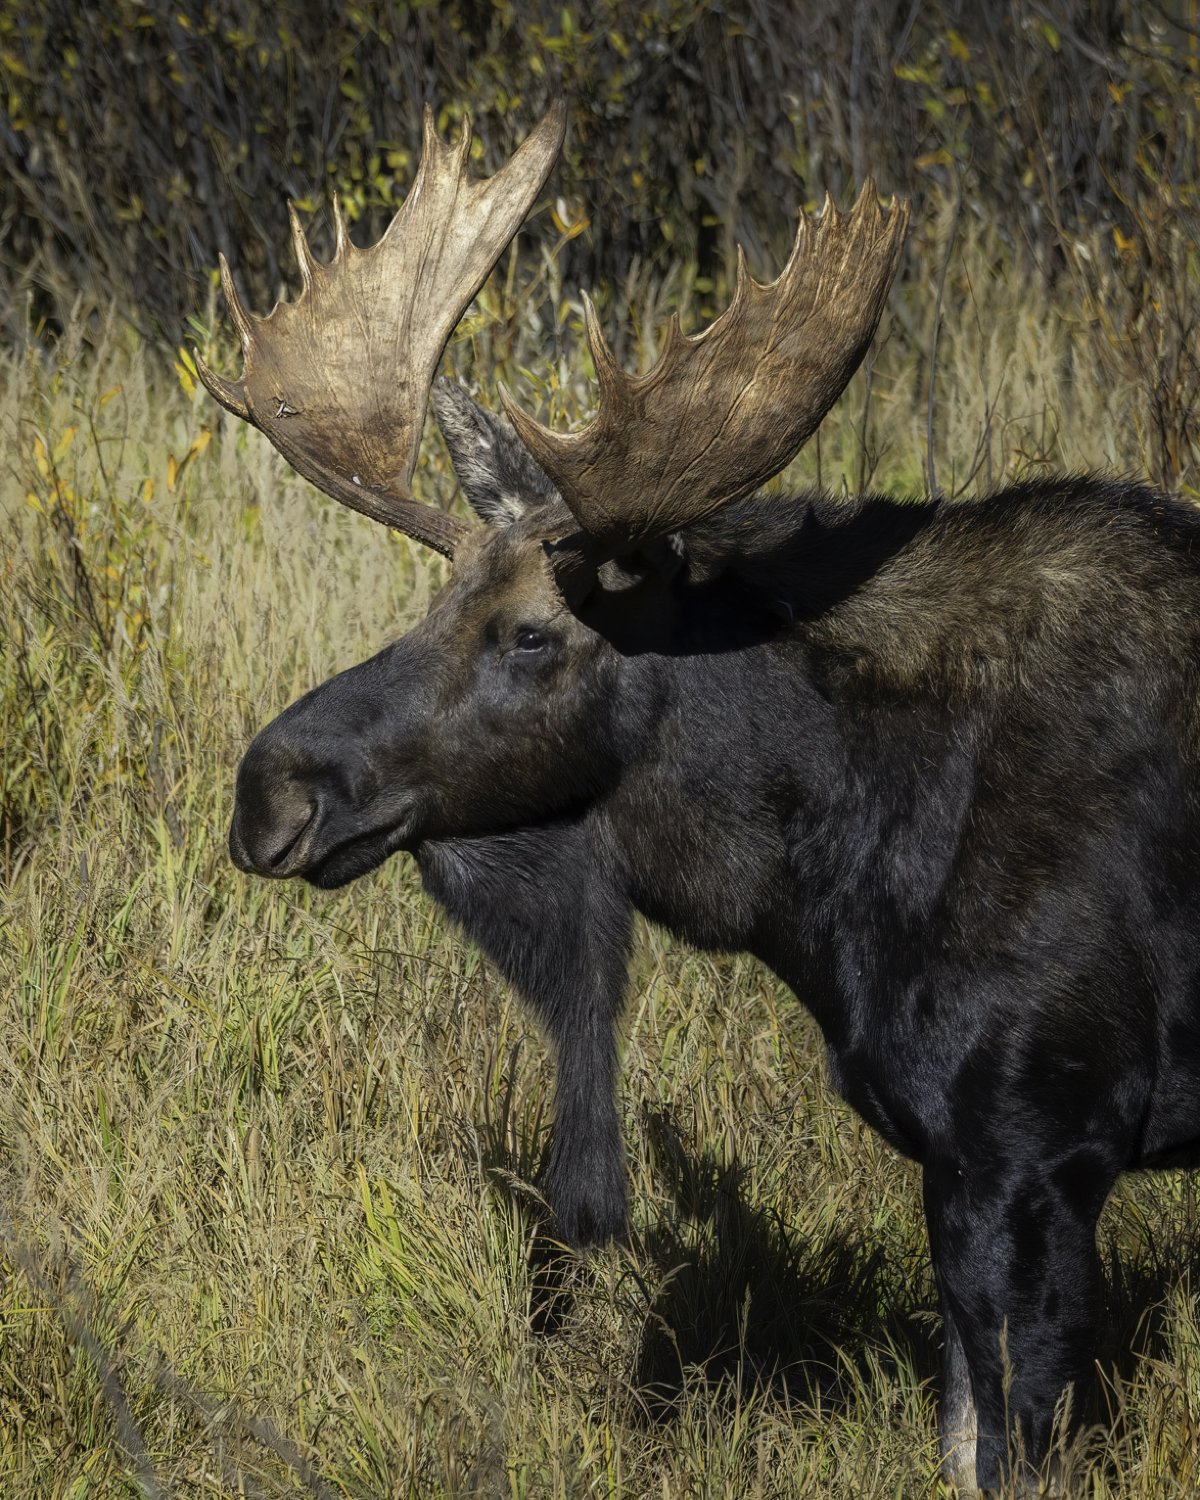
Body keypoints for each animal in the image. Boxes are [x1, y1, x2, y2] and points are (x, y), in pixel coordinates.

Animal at [198, 101, 1200, 1494]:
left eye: (530, 634)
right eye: (436, 601)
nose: (268, 788)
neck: (829, 883)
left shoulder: (1045, 1143)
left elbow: (1009, 1445)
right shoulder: (957, 1159)